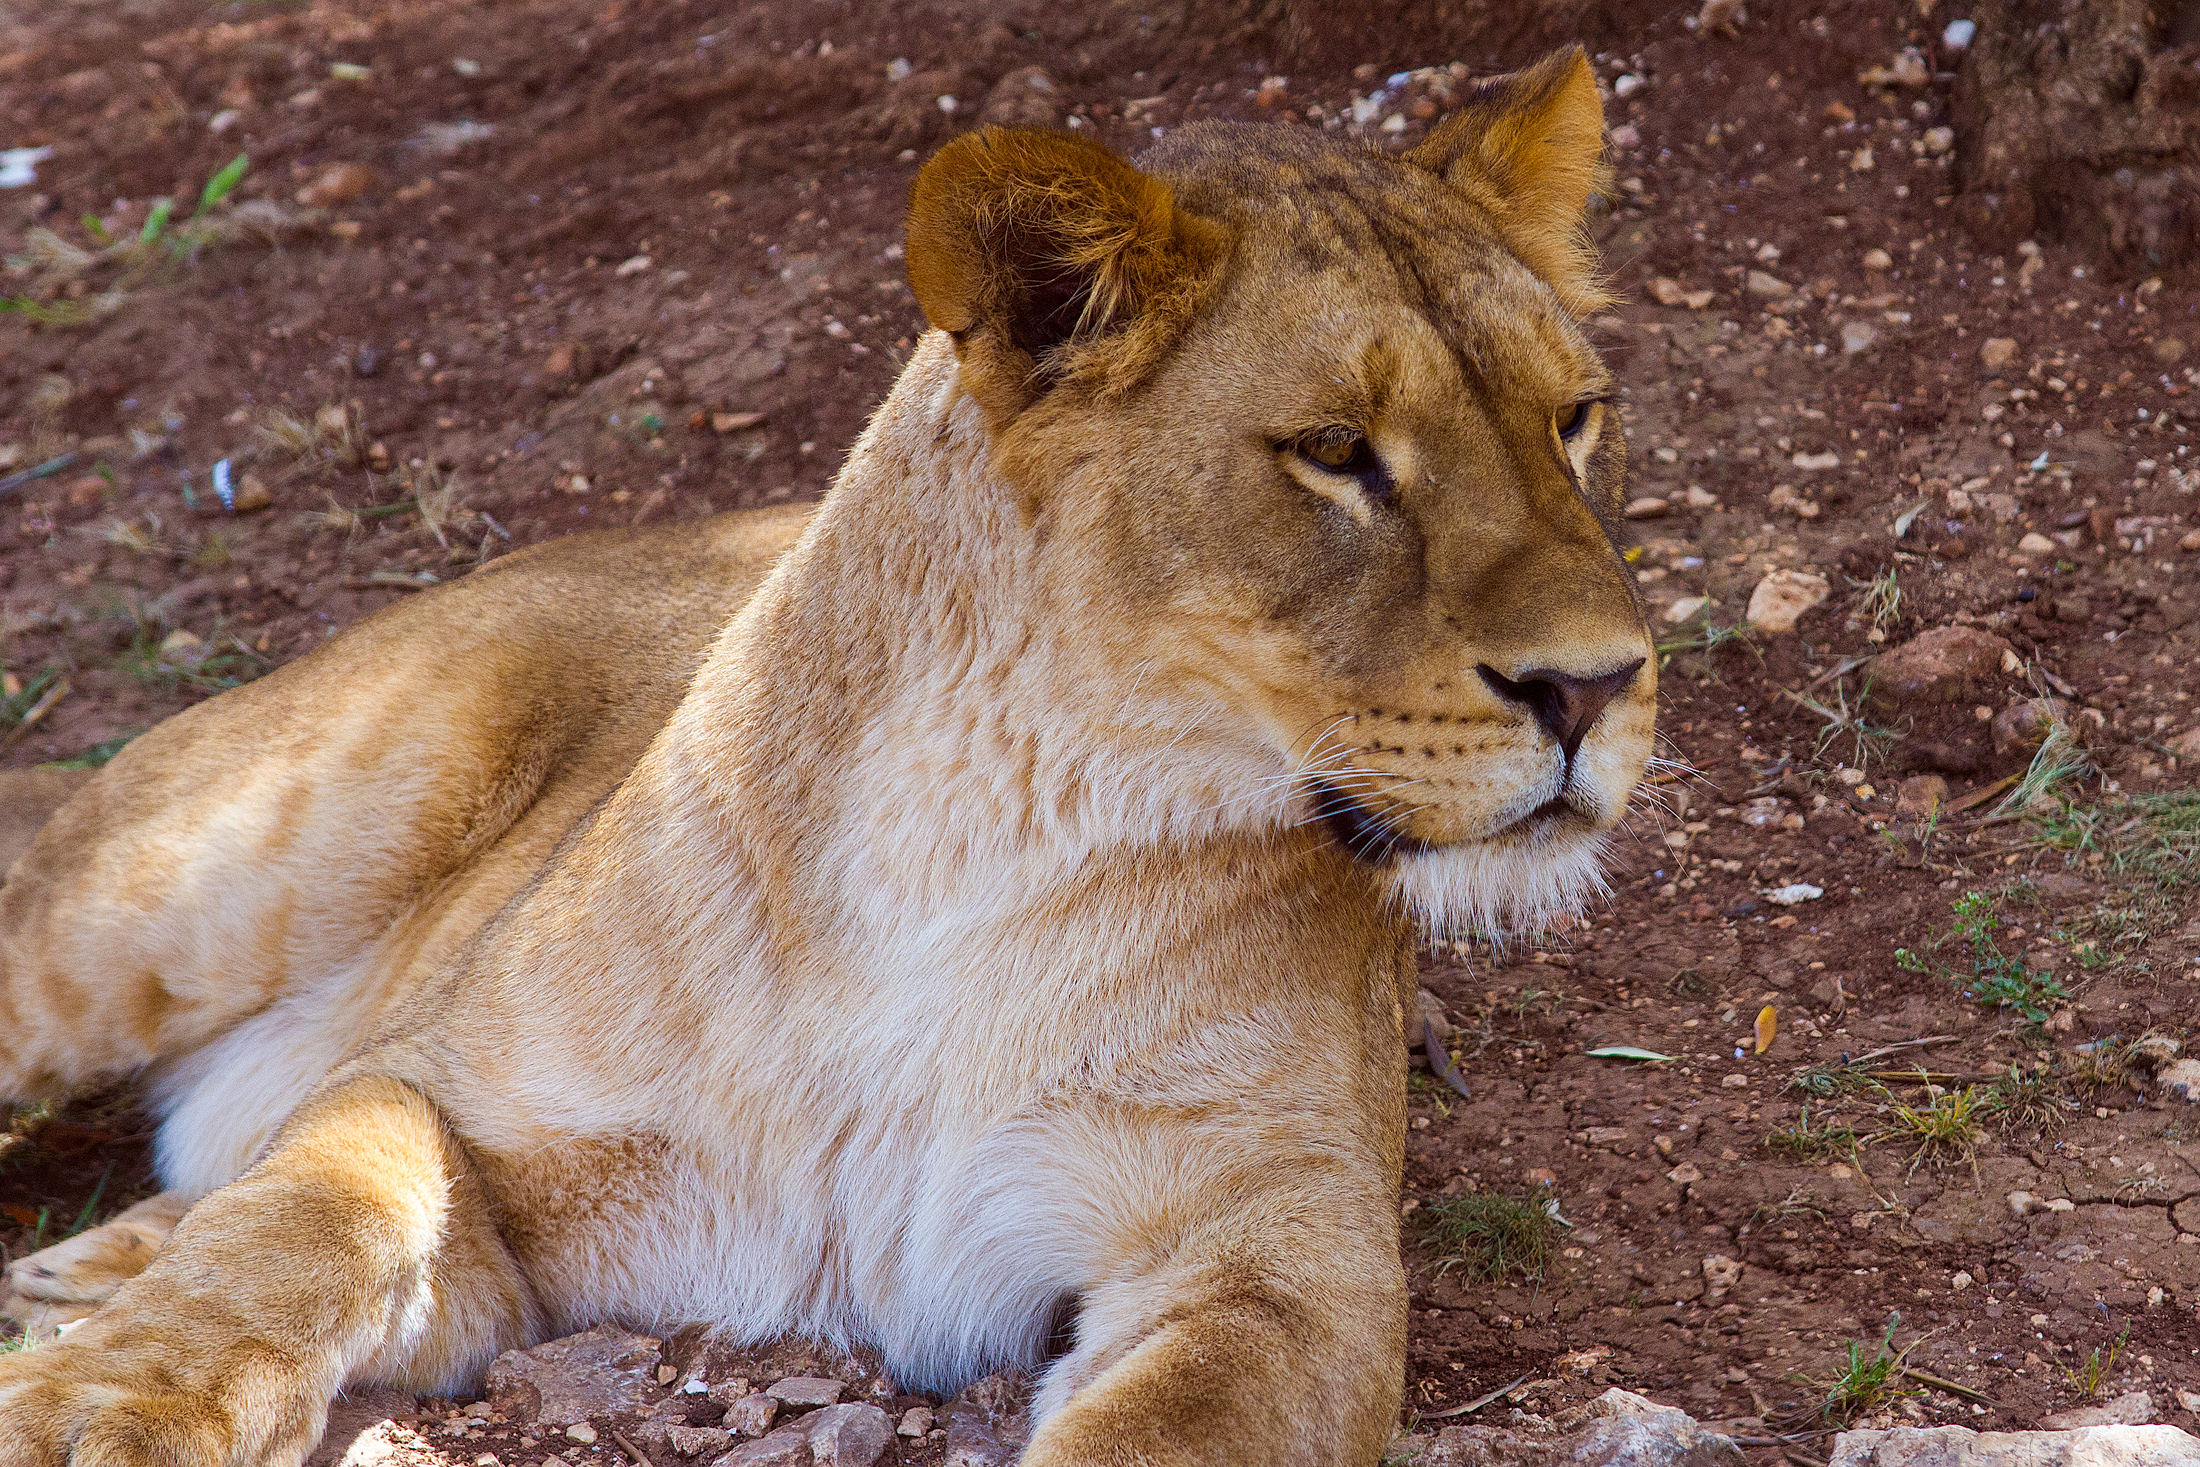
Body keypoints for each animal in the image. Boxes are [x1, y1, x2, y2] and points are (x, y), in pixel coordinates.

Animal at [0, 46, 1652, 1466]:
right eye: (1334, 450)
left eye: (1575, 418)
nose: (1597, 684)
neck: (989, 817)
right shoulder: (452, 1106)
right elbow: (310, 1212)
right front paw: (99, 1400)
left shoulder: (1283, 1255)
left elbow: (1171, 1422)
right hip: (178, 878)